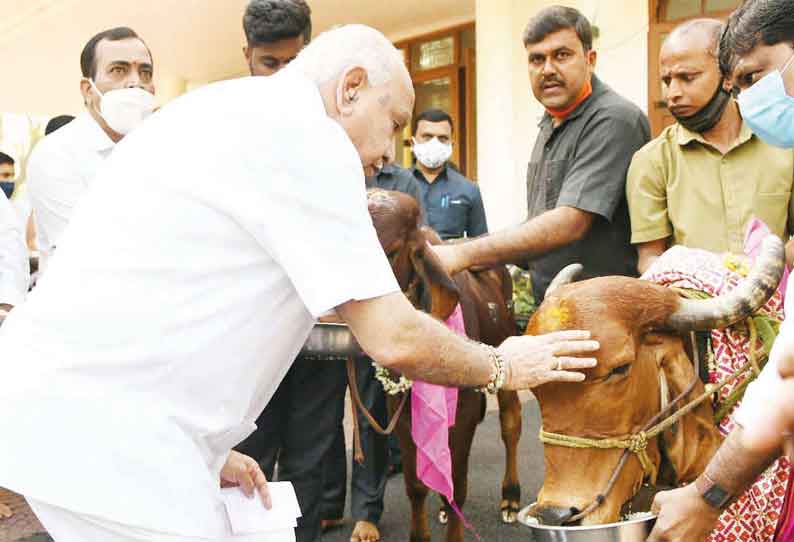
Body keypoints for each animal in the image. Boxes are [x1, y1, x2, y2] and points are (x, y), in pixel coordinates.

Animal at [364, 190, 524, 542]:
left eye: (392, 251)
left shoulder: (463, 415)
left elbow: (458, 491)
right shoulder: (400, 416)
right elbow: (415, 486)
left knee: (511, 424)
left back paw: (510, 496)